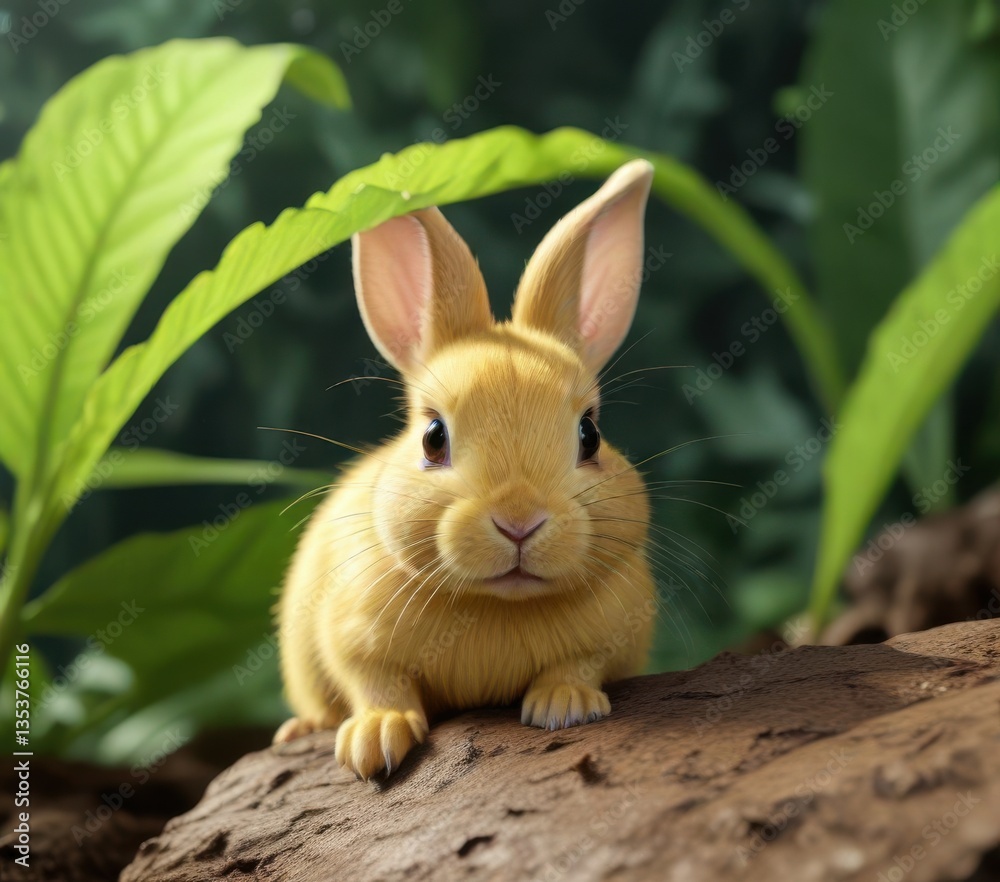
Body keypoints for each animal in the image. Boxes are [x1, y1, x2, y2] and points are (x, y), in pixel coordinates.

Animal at [274, 159, 658, 780]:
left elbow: (580, 664)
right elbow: (375, 682)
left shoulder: (614, 630)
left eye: (590, 435)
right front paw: (374, 739)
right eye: (433, 438)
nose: (519, 521)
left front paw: (563, 705)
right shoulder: (350, 636)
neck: (495, 604)